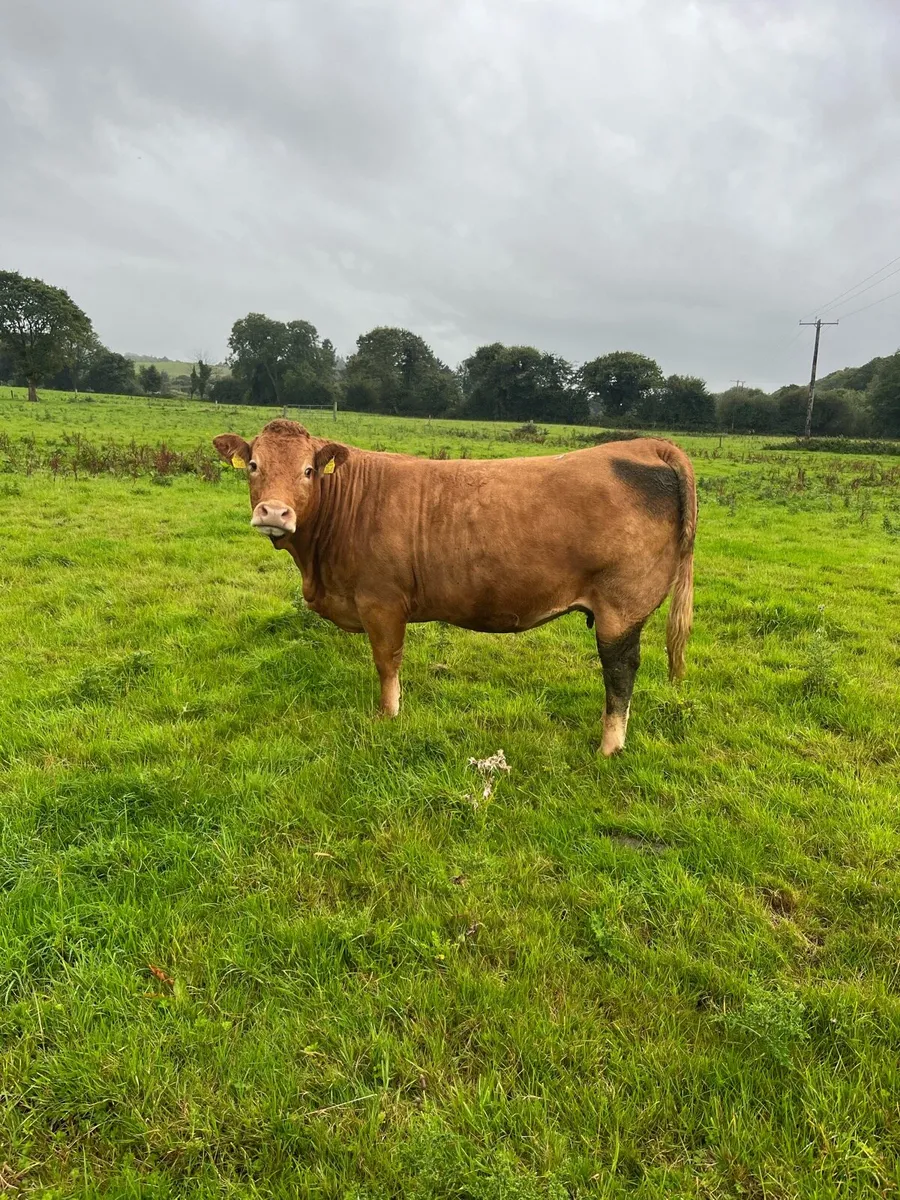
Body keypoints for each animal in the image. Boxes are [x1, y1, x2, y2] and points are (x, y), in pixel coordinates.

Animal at [212, 420, 696, 755]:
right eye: (253, 466)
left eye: (309, 470)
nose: (274, 513)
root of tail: (645, 445)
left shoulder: (381, 602)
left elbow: (387, 662)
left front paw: (387, 716)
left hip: (620, 608)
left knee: (621, 671)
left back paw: (609, 747)